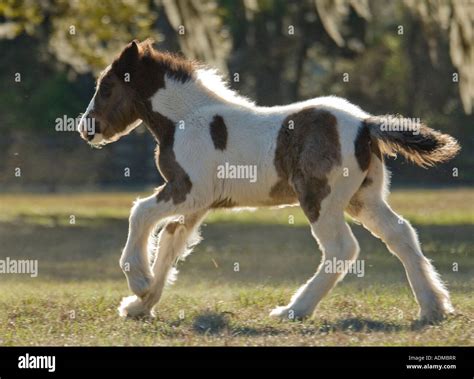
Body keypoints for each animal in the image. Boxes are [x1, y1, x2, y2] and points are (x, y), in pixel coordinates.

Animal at [78, 40, 460, 322]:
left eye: (107, 87)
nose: (86, 128)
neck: (186, 119)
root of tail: (366, 124)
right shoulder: (197, 204)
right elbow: (171, 242)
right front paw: (141, 305)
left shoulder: (188, 190)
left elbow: (140, 212)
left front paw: (139, 281)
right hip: (364, 198)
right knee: (400, 233)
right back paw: (433, 307)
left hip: (320, 199)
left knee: (342, 248)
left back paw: (294, 310)